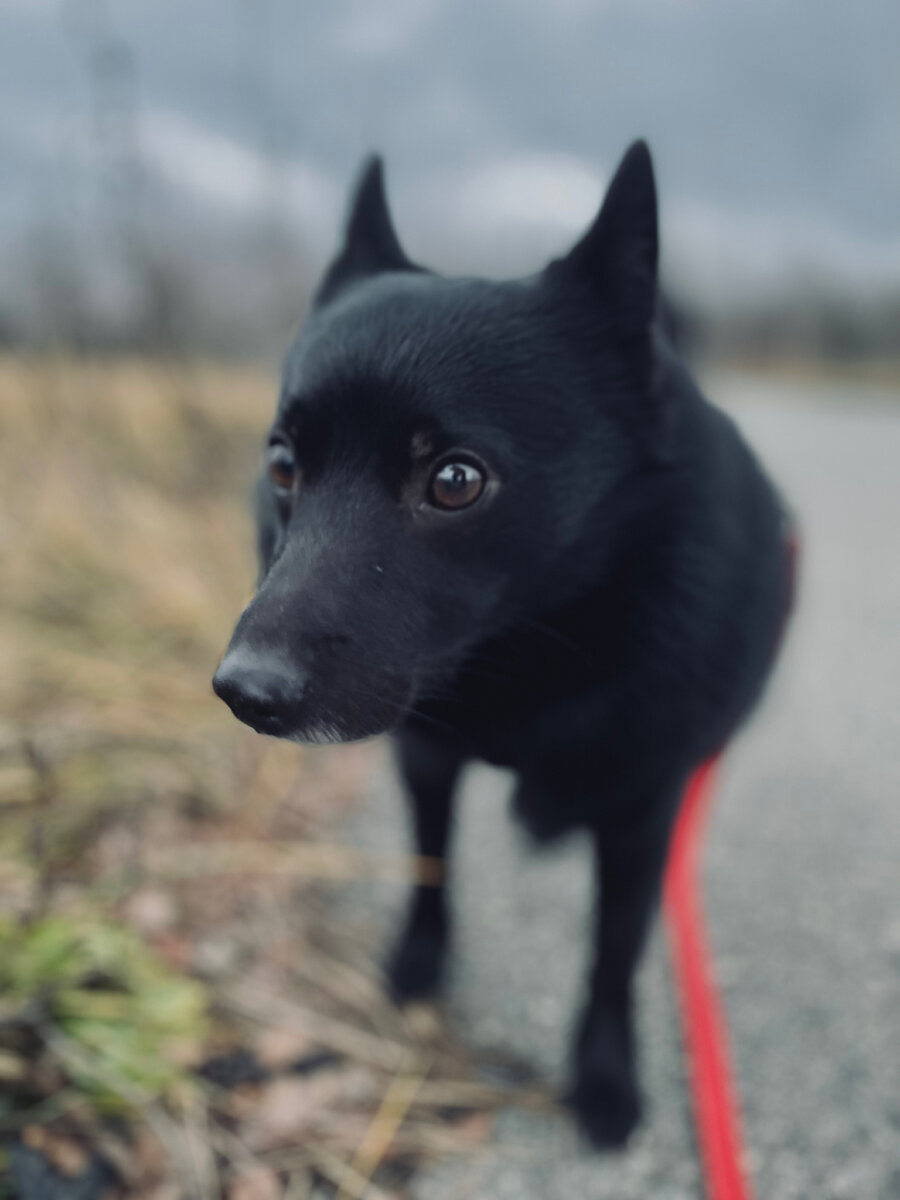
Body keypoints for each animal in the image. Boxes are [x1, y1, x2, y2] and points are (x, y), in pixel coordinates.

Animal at [214, 140, 792, 1142]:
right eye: (283, 464)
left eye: (455, 480)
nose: (246, 692)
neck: (530, 652)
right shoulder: (424, 760)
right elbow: (430, 862)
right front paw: (418, 962)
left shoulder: (643, 814)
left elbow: (613, 952)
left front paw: (604, 1073)